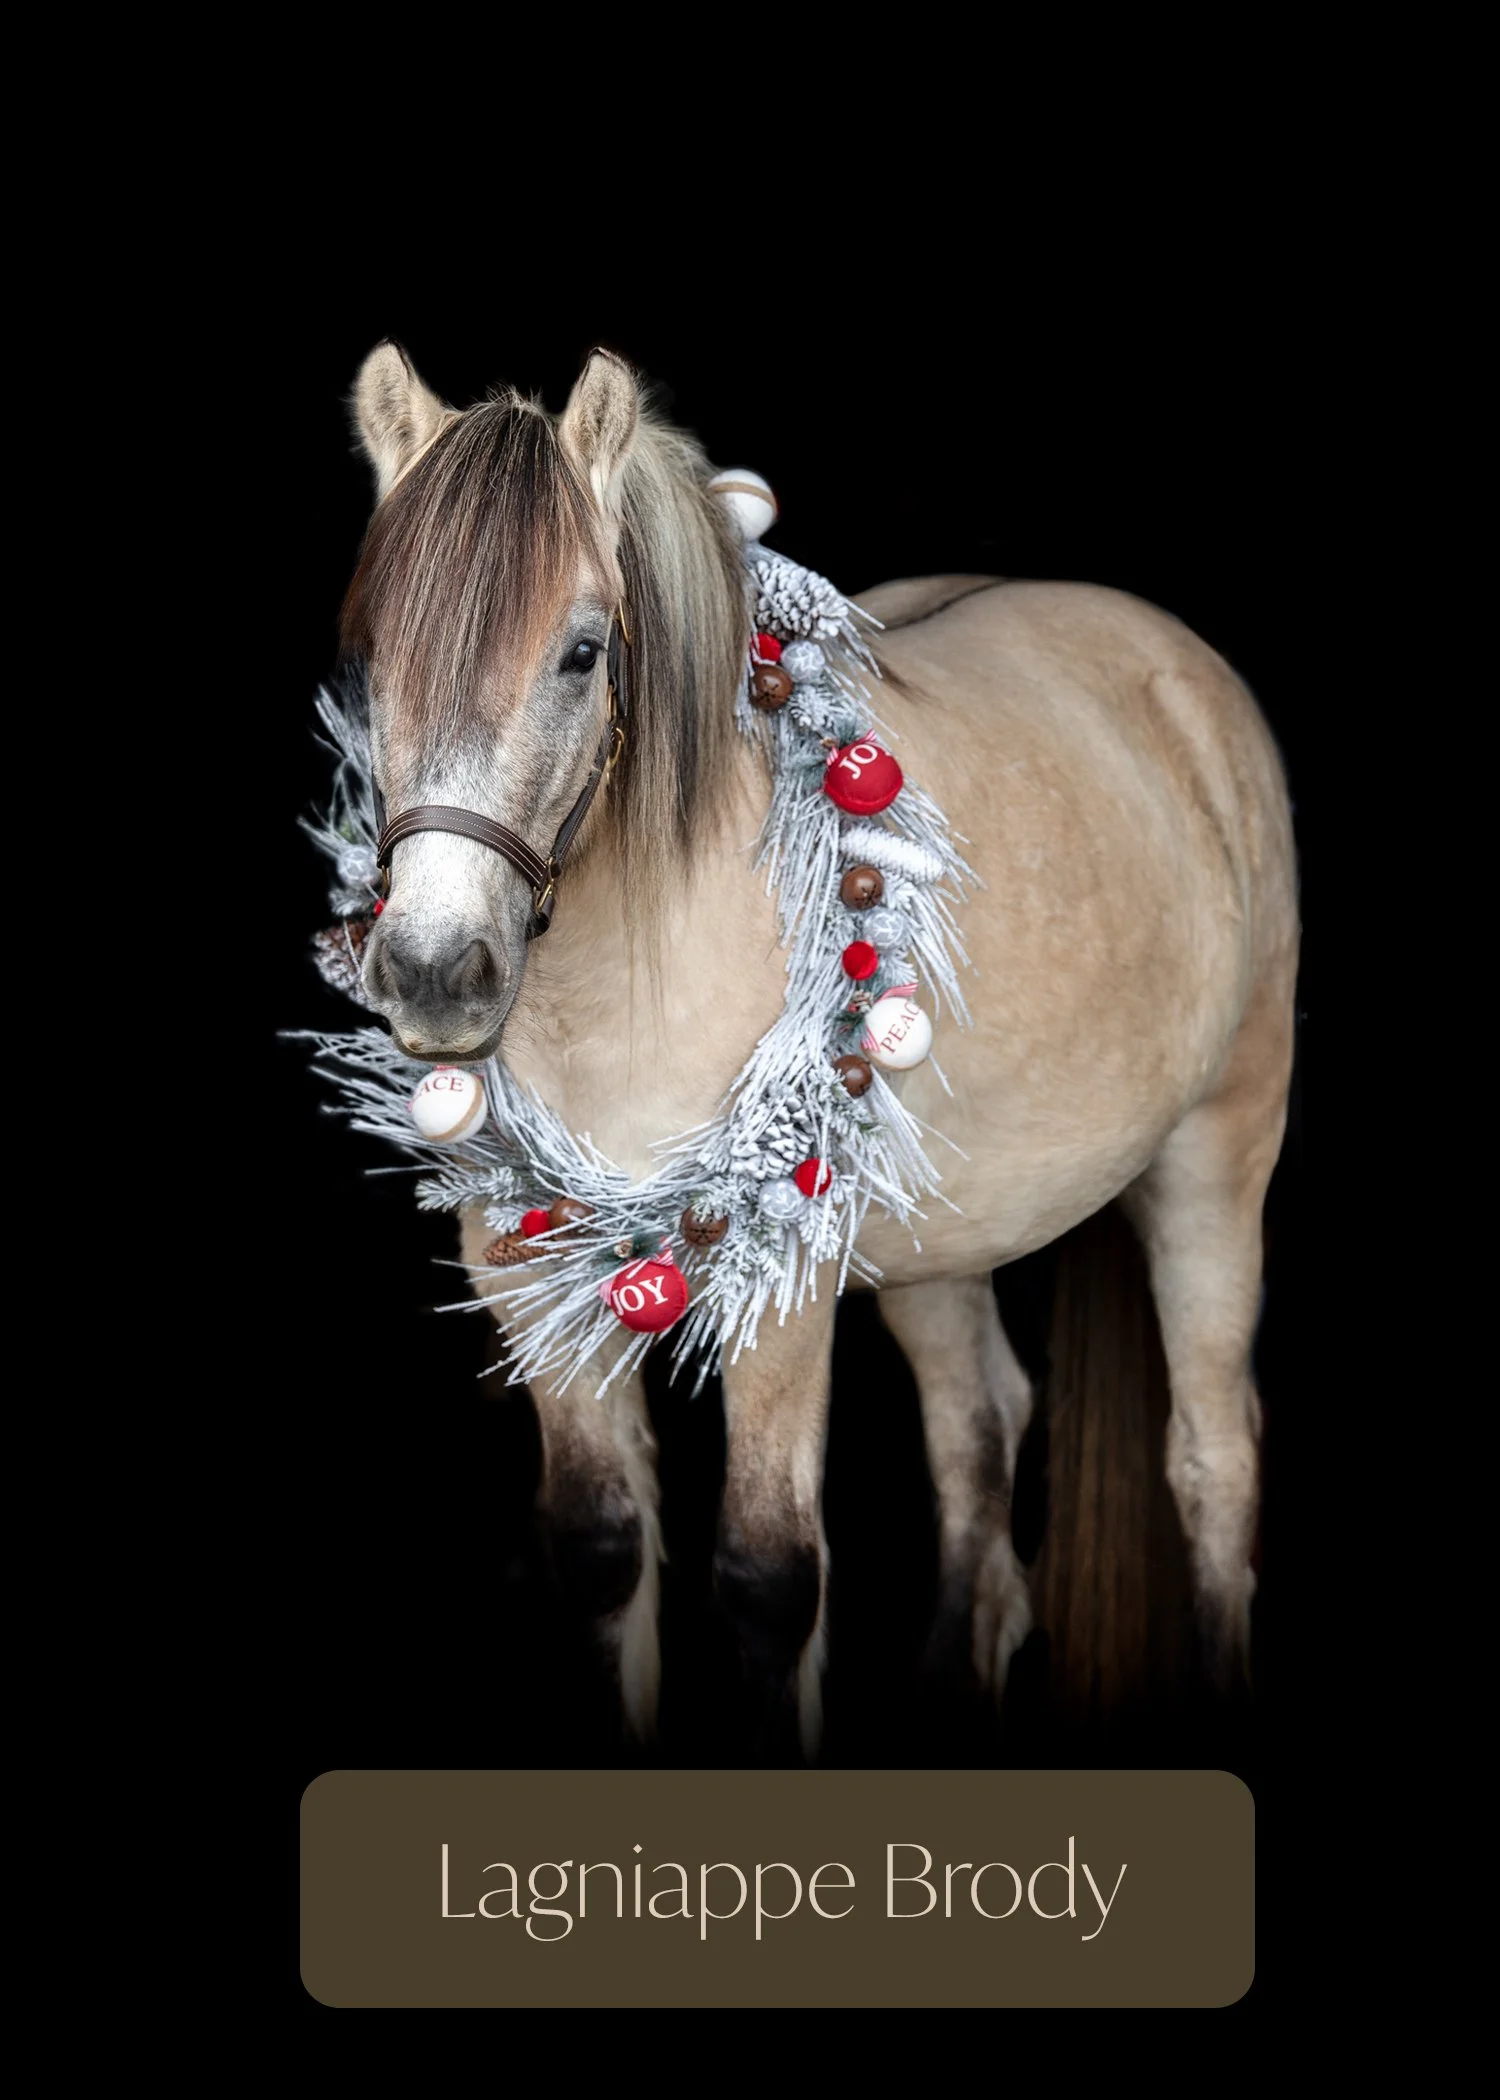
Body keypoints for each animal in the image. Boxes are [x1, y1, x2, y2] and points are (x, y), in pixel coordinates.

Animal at [330, 340, 1298, 1759]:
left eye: (581, 652)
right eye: (368, 663)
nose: (436, 973)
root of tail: (1177, 669)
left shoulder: (780, 1275)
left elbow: (769, 1578)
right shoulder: (524, 1271)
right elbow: (603, 1552)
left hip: (1217, 1155)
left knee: (1213, 1460)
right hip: (946, 1230)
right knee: (978, 1431)